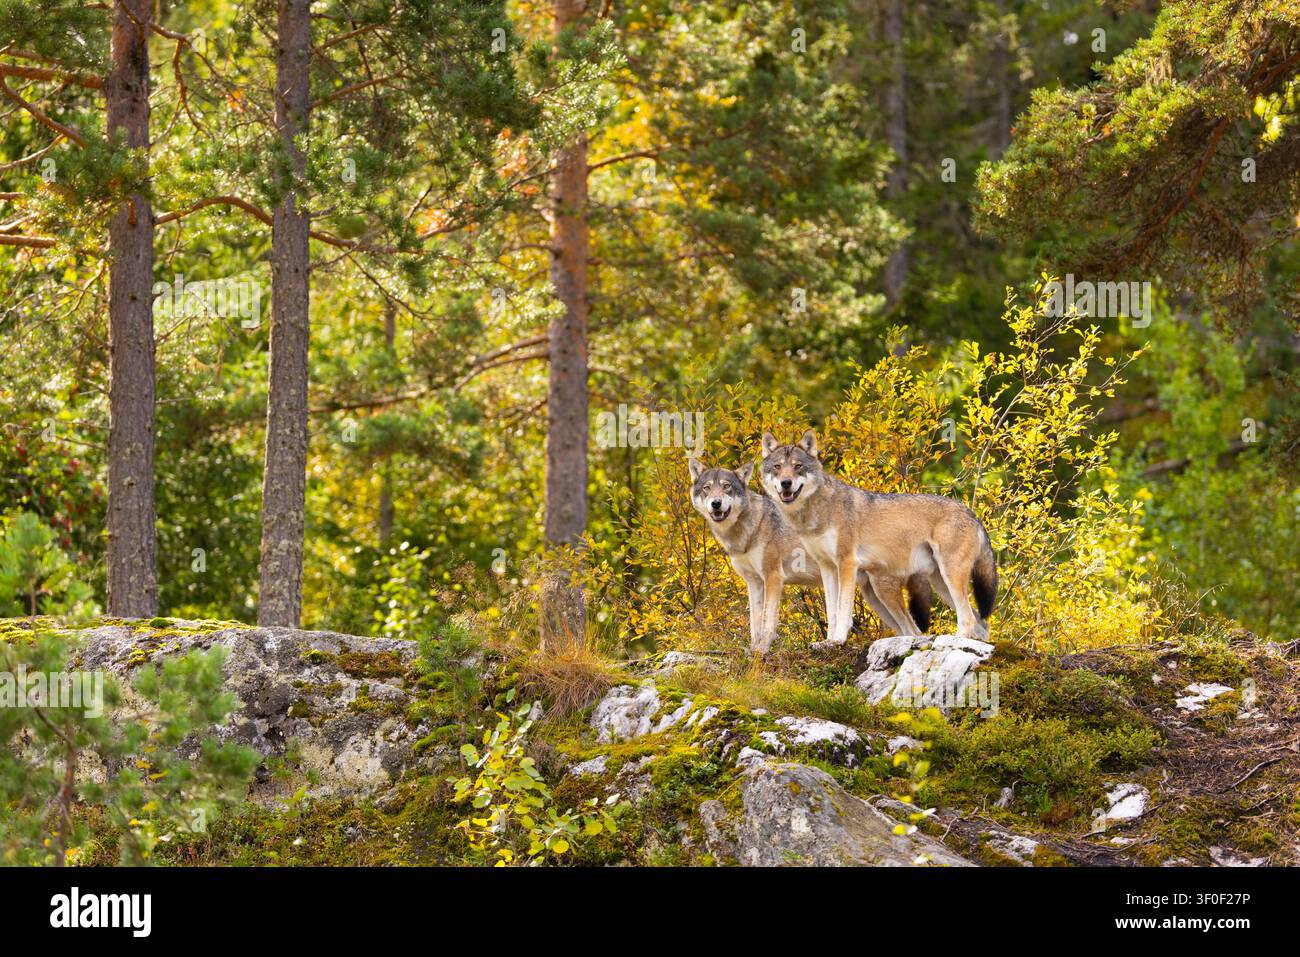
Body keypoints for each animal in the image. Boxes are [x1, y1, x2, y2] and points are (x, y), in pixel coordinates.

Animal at [688, 458, 914, 655]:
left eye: (726, 487)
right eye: (707, 488)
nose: (716, 503)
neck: (748, 530)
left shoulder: (773, 577)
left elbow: (767, 621)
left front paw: (762, 651)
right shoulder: (754, 582)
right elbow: (754, 624)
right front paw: (753, 650)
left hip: (883, 593)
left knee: (912, 629)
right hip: (875, 598)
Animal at [759, 430, 997, 646]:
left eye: (798, 466)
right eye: (777, 467)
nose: (786, 483)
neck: (817, 512)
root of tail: (971, 513)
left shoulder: (847, 563)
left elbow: (842, 610)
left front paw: (839, 639)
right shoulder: (827, 568)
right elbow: (831, 611)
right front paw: (827, 642)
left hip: (948, 577)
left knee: (968, 617)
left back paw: (955, 640)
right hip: (939, 583)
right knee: (981, 622)